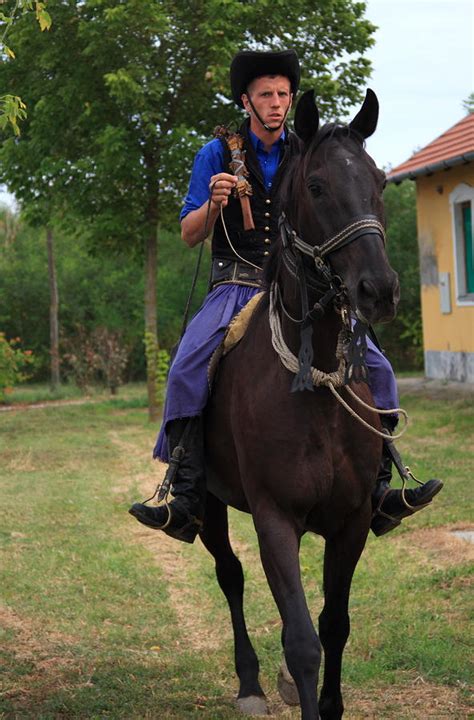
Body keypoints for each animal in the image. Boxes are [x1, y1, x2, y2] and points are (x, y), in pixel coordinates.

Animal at [201, 90, 400, 720]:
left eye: (380, 181)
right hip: (211, 505)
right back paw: (250, 684)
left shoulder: (352, 519)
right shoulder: (275, 518)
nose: (378, 290)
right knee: (231, 576)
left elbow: (333, 625)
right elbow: (303, 641)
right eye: (316, 186)